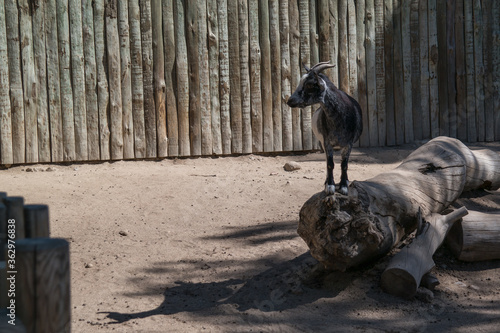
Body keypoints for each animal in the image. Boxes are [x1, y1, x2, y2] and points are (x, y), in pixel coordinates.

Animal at [286, 61, 364, 195]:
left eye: (310, 85)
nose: (290, 100)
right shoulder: (327, 142)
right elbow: (330, 164)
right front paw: (330, 186)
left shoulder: (348, 144)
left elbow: (344, 165)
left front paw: (344, 186)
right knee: (327, 161)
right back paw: (327, 181)